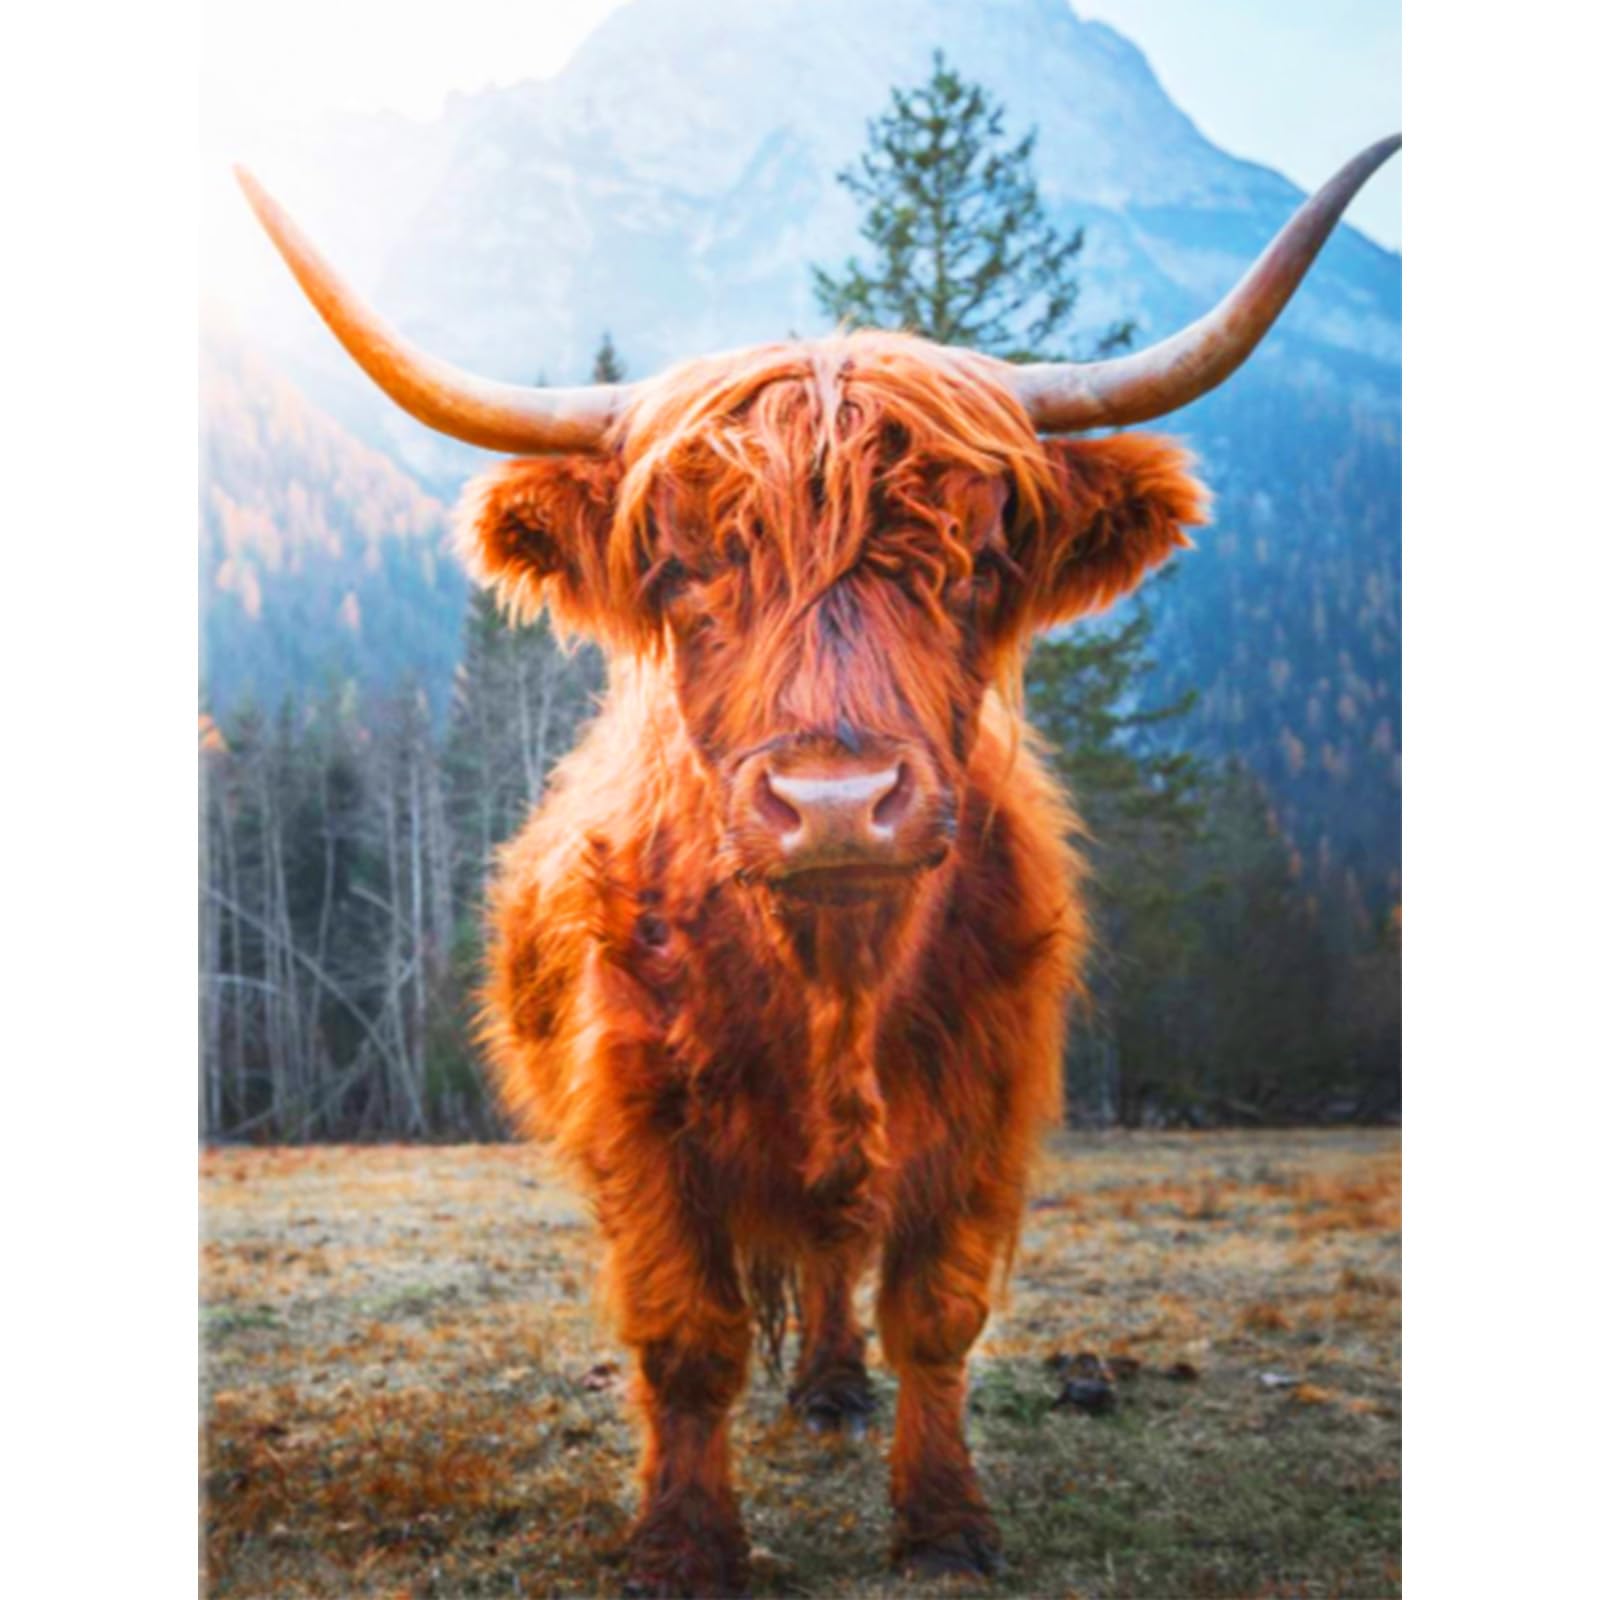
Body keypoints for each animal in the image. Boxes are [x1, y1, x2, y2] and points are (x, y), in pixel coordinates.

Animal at [238, 133, 1398, 1595]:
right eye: (682, 567)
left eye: (978, 557)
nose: (836, 804)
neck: (831, 979)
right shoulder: (640, 1116)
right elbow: (687, 1337)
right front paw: (684, 1542)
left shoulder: (984, 1100)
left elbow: (936, 1315)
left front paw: (945, 1521)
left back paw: (839, 1390)